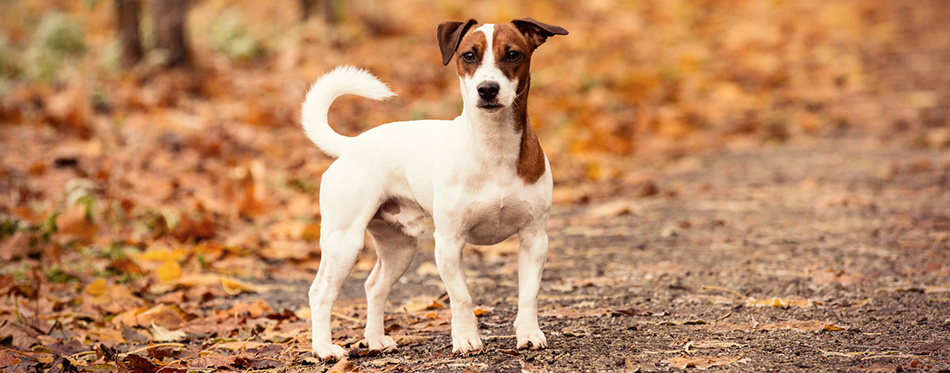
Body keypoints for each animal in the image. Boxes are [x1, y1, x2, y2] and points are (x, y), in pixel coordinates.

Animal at [302, 18, 568, 360]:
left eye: (513, 54)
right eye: (469, 55)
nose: (487, 89)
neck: (493, 146)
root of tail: (352, 145)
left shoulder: (534, 239)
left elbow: (529, 293)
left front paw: (529, 334)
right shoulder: (449, 243)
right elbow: (461, 297)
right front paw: (466, 340)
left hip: (400, 247)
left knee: (374, 286)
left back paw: (375, 340)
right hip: (344, 242)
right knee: (320, 292)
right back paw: (324, 348)